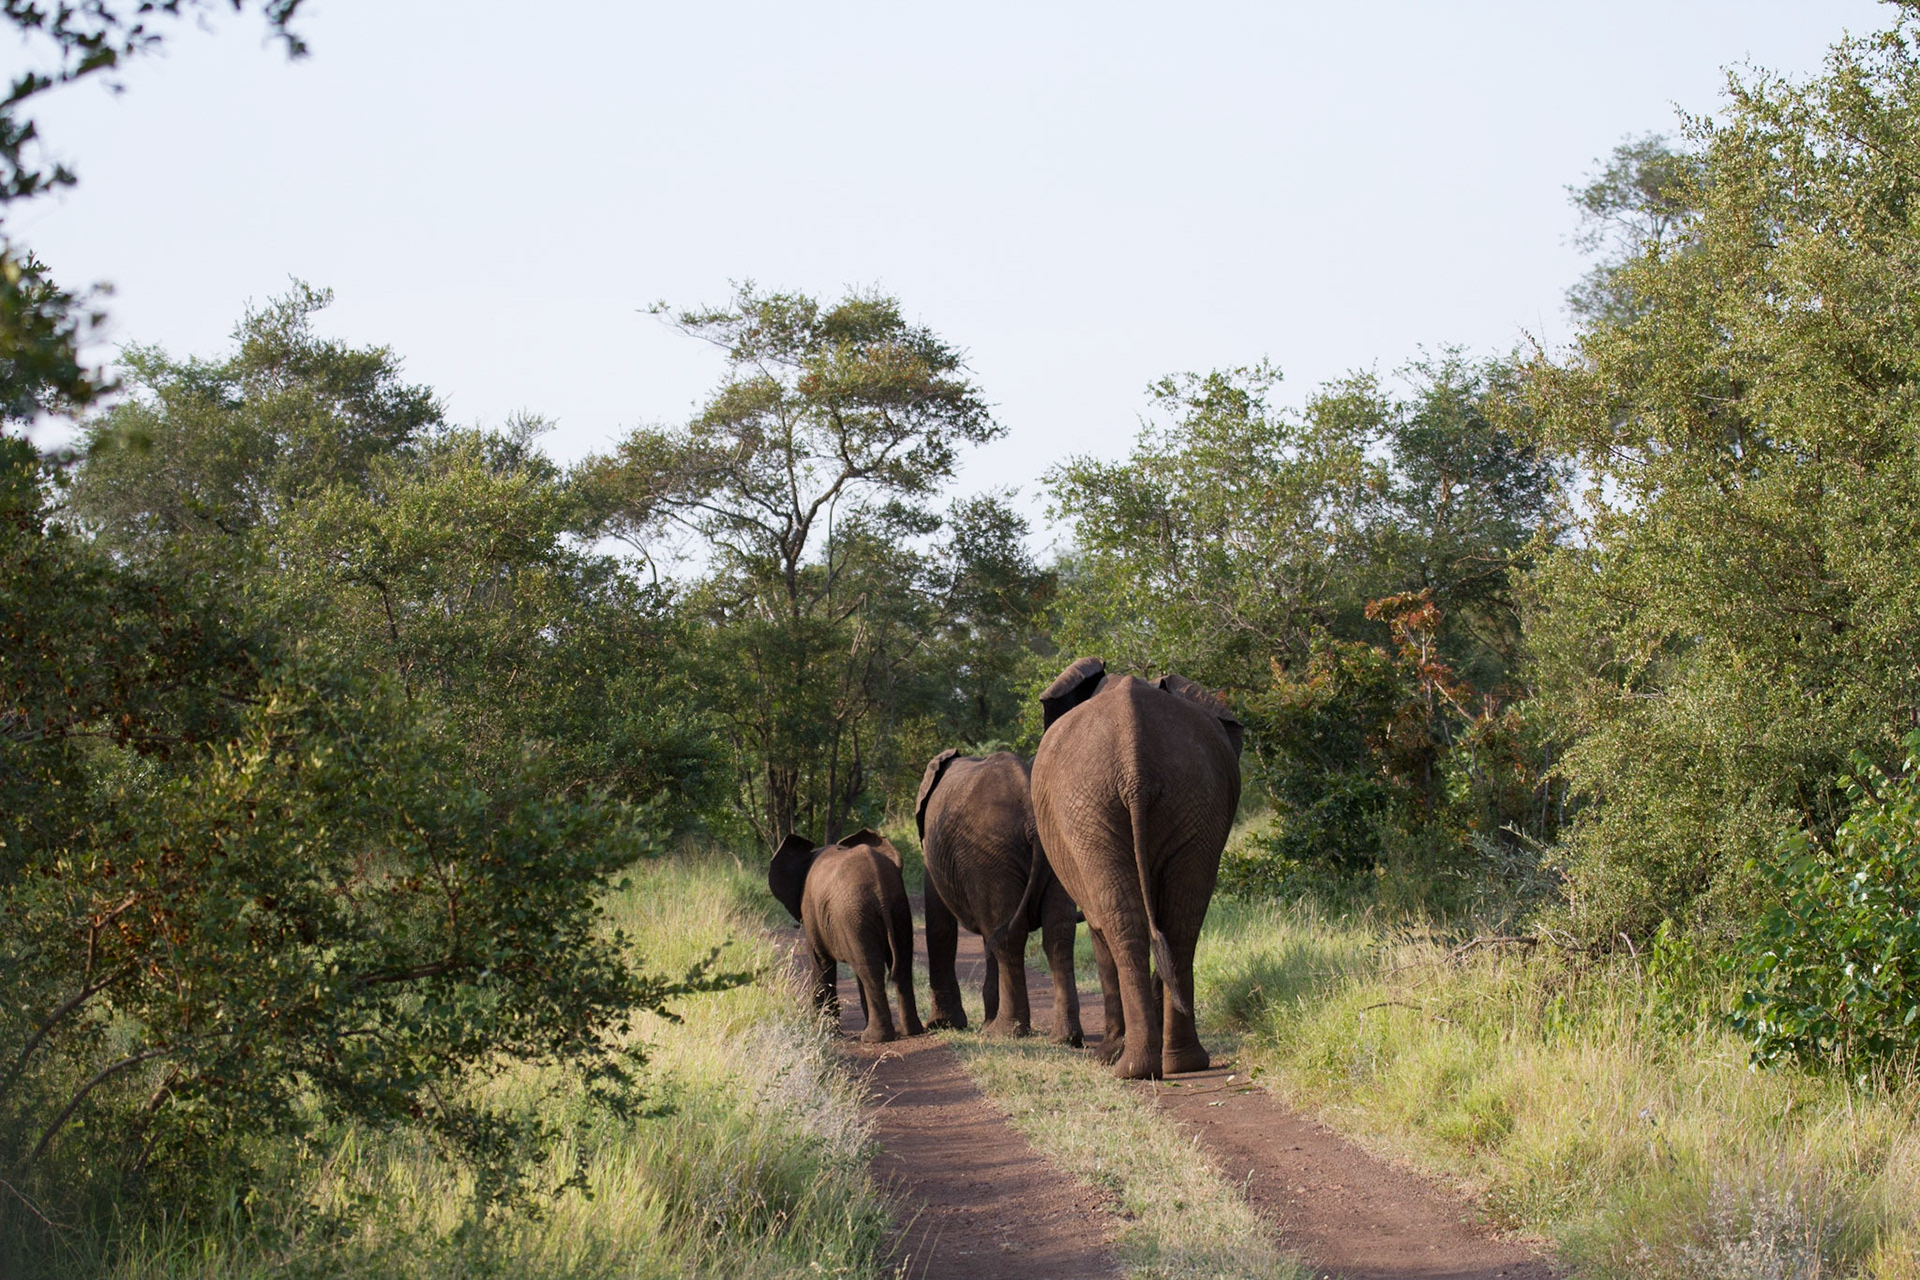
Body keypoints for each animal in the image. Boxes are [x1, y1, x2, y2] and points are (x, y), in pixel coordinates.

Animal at [769, 828, 926, 1043]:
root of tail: (880, 887)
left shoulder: (811, 912)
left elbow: (821, 962)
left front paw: (825, 1032)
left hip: (855, 914)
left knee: (871, 969)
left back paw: (873, 1038)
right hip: (897, 909)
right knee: (898, 965)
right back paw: (909, 1032)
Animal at [915, 749, 1084, 1045]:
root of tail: (1031, 817)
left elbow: (939, 923)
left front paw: (942, 1025)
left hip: (991, 857)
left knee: (1007, 938)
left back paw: (1004, 1033)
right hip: (1045, 853)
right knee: (1058, 935)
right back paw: (1065, 1038)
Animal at [1029, 657, 1242, 1080]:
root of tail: (1134, 759)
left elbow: (1098, 930)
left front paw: (1107, 1054)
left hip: (1087, 808)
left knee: (1119, 922)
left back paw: (1128, 1065)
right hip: (1193, 799)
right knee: (1180, 921)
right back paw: (1181, 1063)